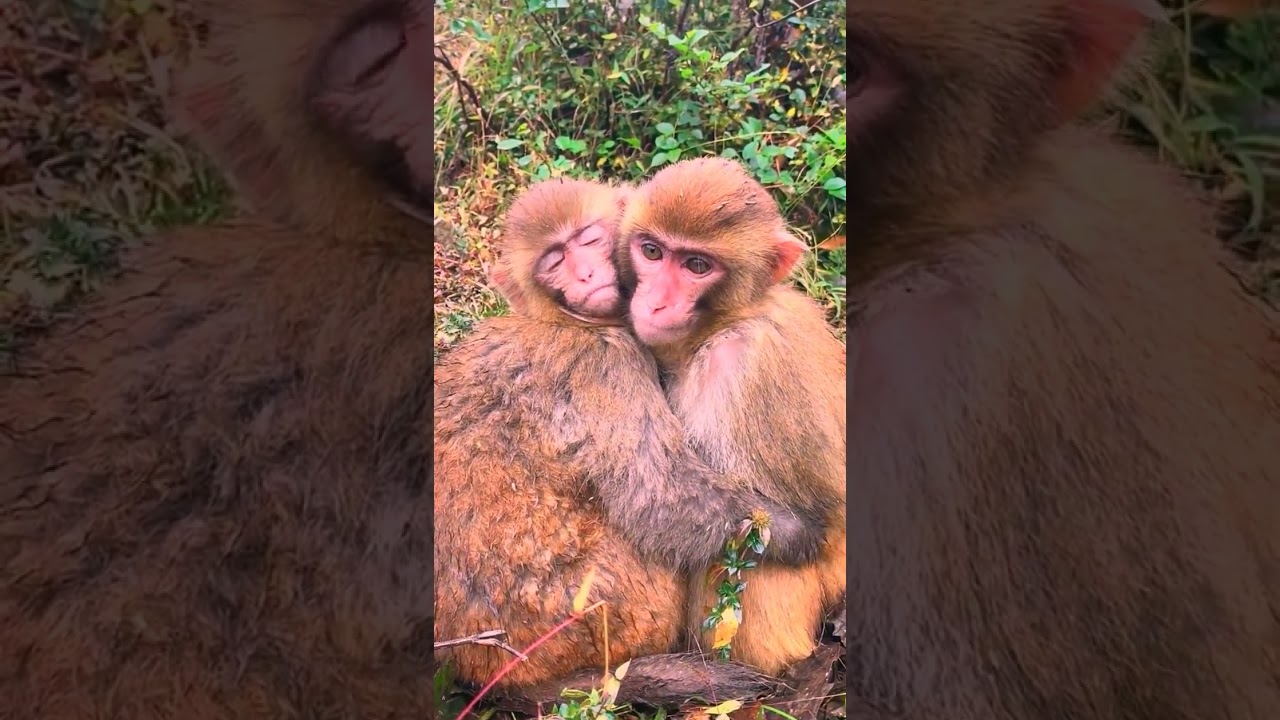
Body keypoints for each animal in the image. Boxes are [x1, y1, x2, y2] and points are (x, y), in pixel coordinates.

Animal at [433, 176, 828, 699]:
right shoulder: (609, 358)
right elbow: (659, 498)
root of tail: (485, 668)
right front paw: (802, 534)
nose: (584, 275)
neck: (559, 319)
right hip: (606, 618)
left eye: (588, 240)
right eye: (554, 261)